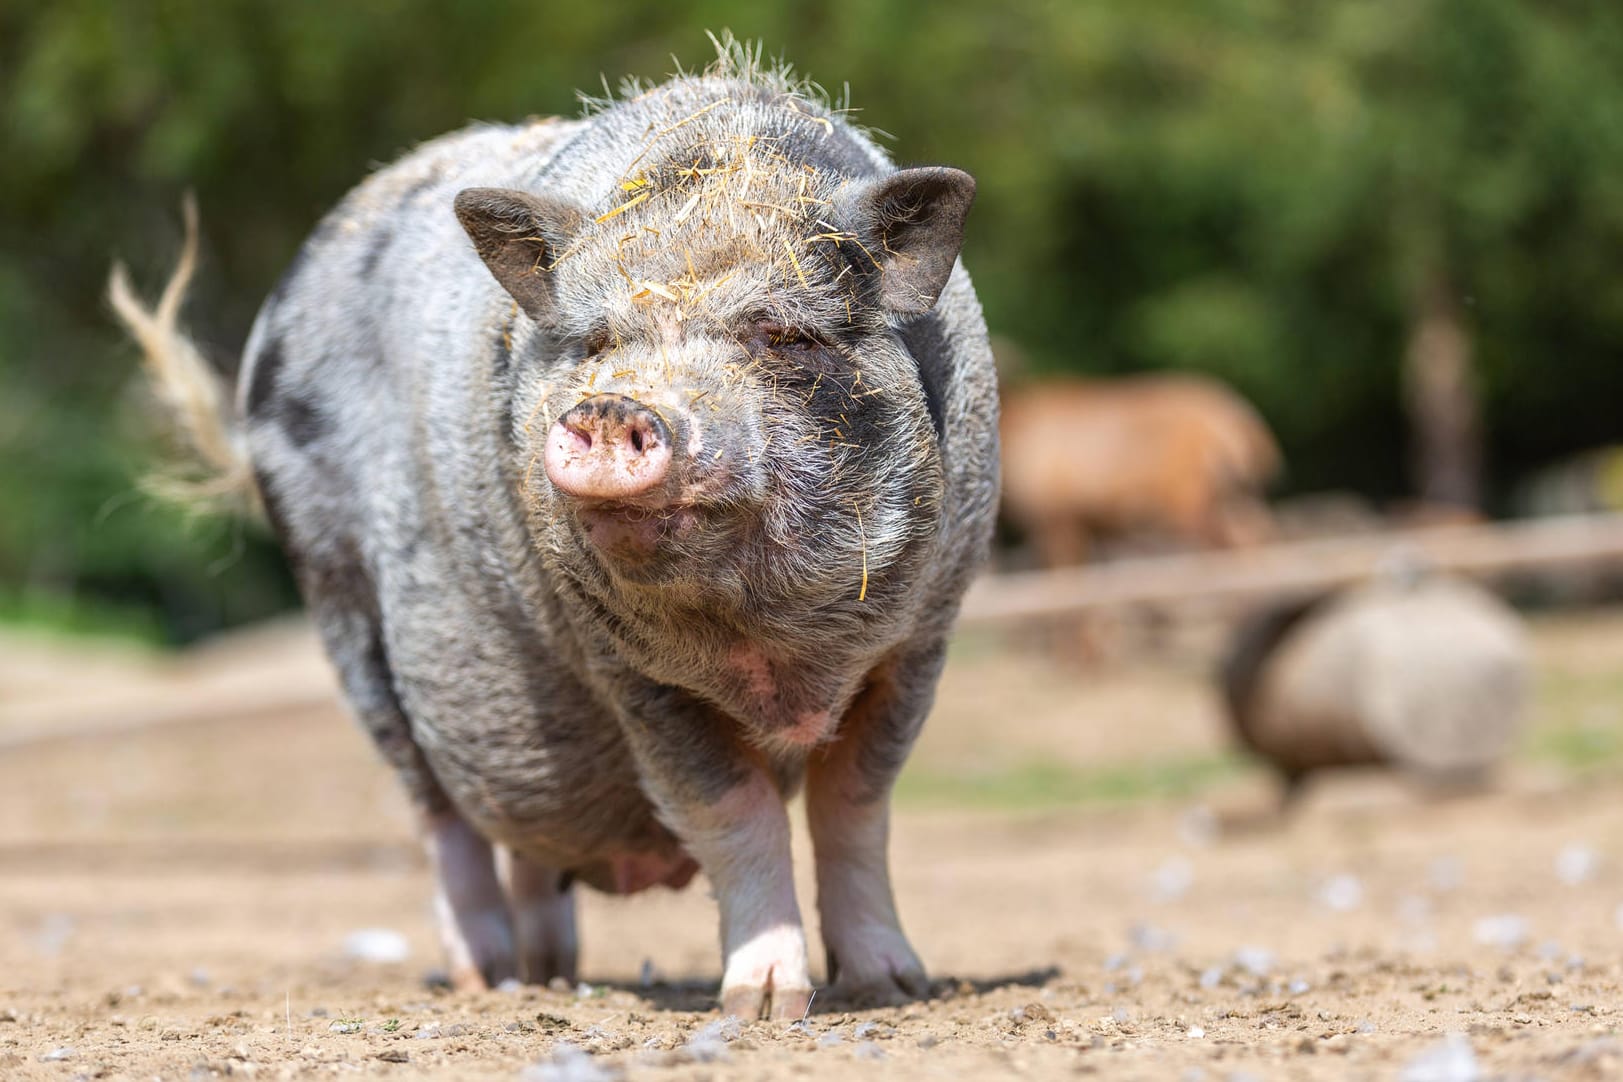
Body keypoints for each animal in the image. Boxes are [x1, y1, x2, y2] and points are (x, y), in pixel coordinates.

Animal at [107, 44, 993, 1025]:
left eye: (780, 334)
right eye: (598, 341)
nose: (611, 407)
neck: (781, 664)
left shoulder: (920, 639)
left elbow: (856, 805)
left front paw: (893, 987)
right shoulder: (634, 677)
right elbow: (734, 812)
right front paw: (758, 1008)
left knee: (528, 840)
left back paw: (552, 974)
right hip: (341, 607)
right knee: (438, 815)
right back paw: (482, 979)